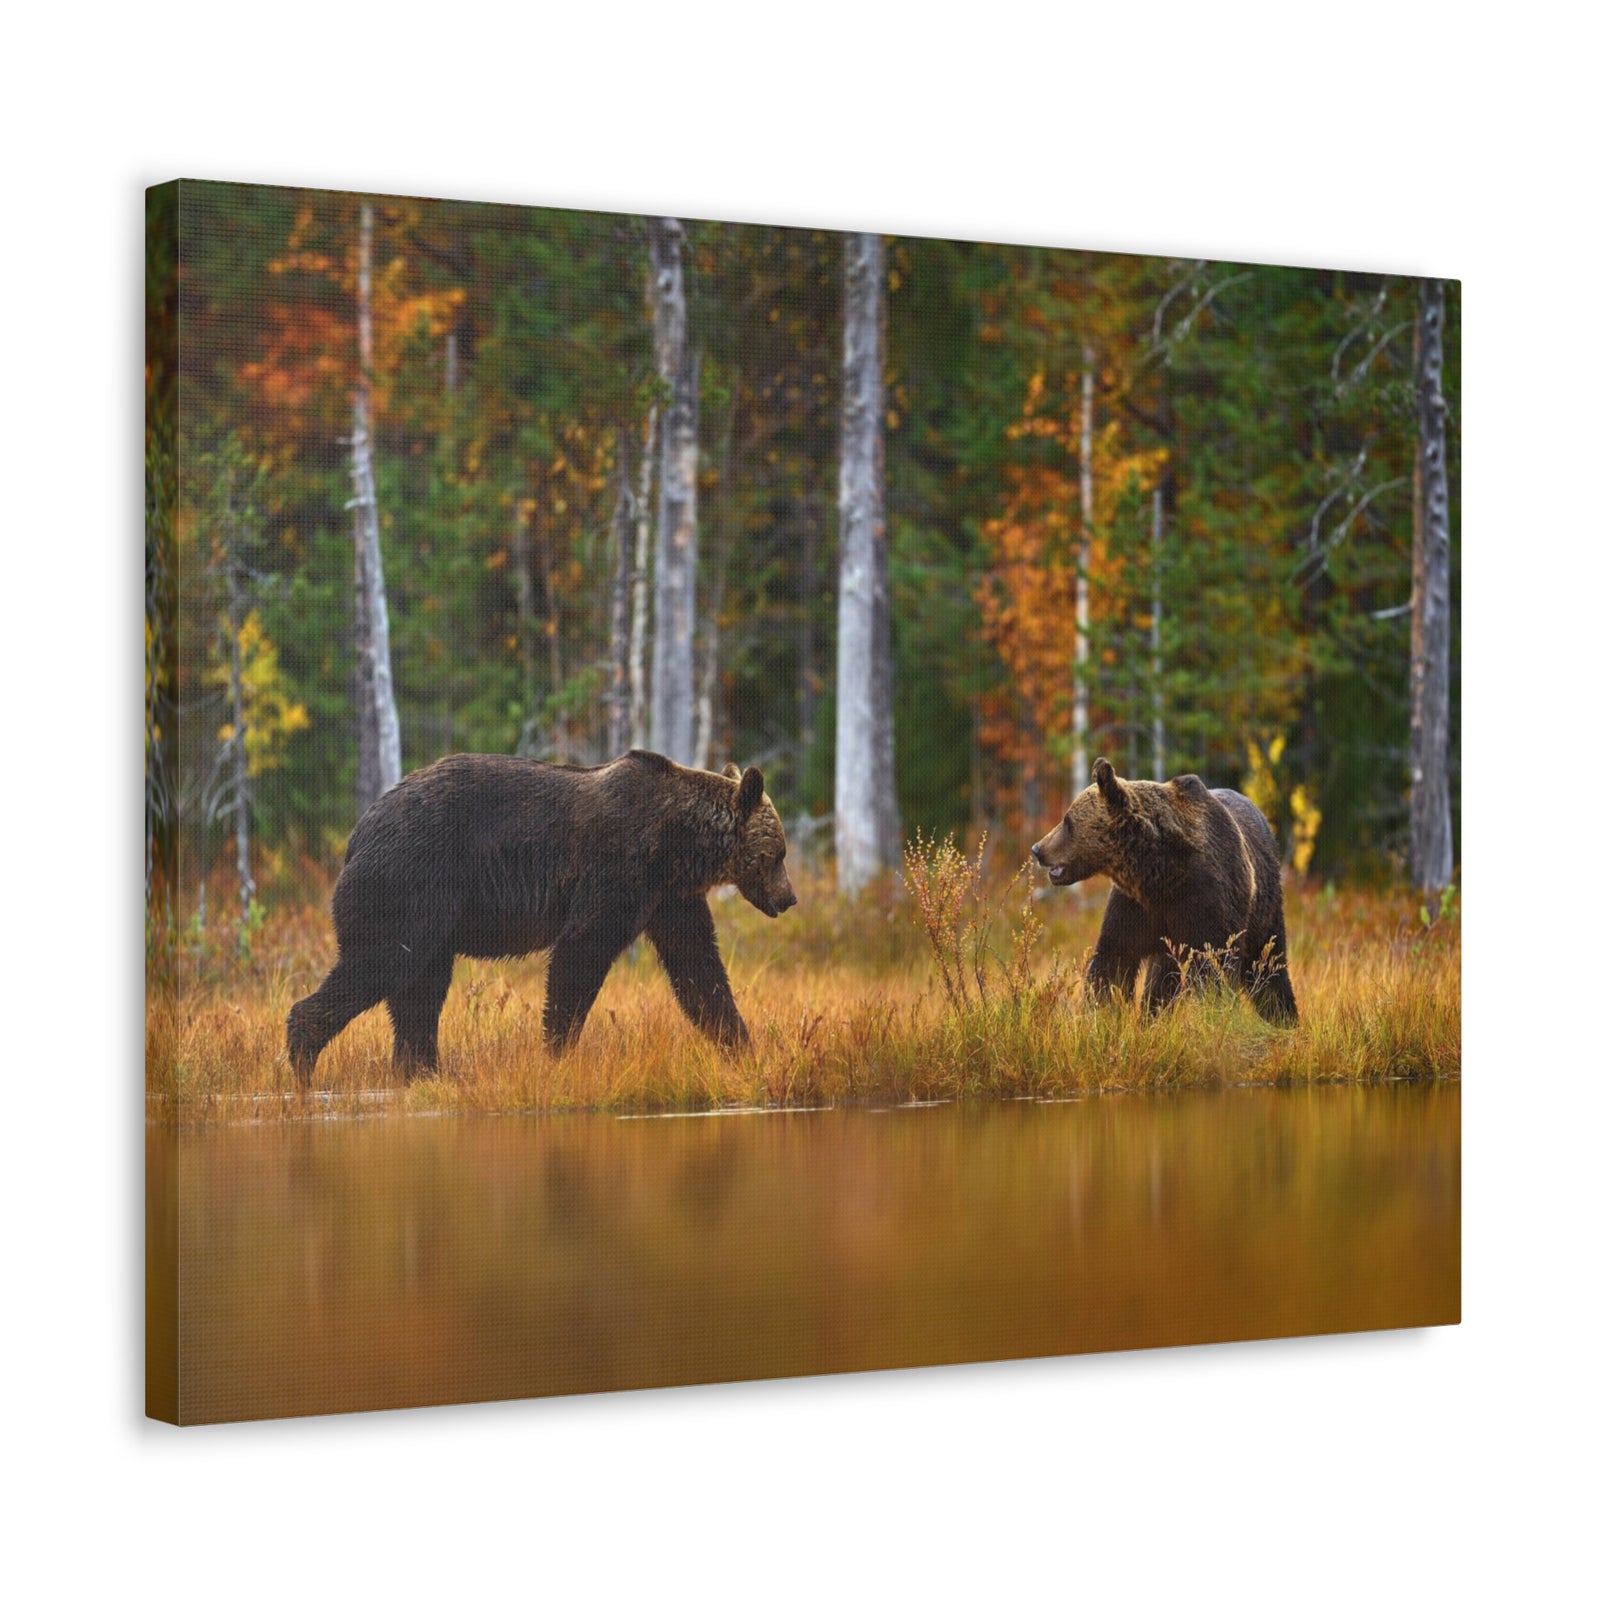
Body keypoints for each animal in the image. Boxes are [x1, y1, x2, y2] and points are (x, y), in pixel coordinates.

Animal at [287, 750, 797, 1084]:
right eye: (779, 854)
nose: (789, 898)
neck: (677, 844)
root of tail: (359, 830)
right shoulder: (618, 869)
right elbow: (580, 951)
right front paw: (557, 1052)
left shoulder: (668, 897)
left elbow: (698, 969)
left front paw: (743, 1048)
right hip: (409, 883)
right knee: (382, 963)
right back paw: (304, 1059)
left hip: (431, 916)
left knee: (420, 992)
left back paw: (423, 1071)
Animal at [1030, 757, 1298, 1023]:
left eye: (1067, 821)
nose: (1037, 849)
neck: (1159, 873)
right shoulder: (1136, 905)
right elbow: (1115, 957)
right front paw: (1102, 1011)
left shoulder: (1205, 898)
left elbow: (1213, 963)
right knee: (1162, 977)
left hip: (1264, 903)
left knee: (1268, 960)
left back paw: (1283, 1016)